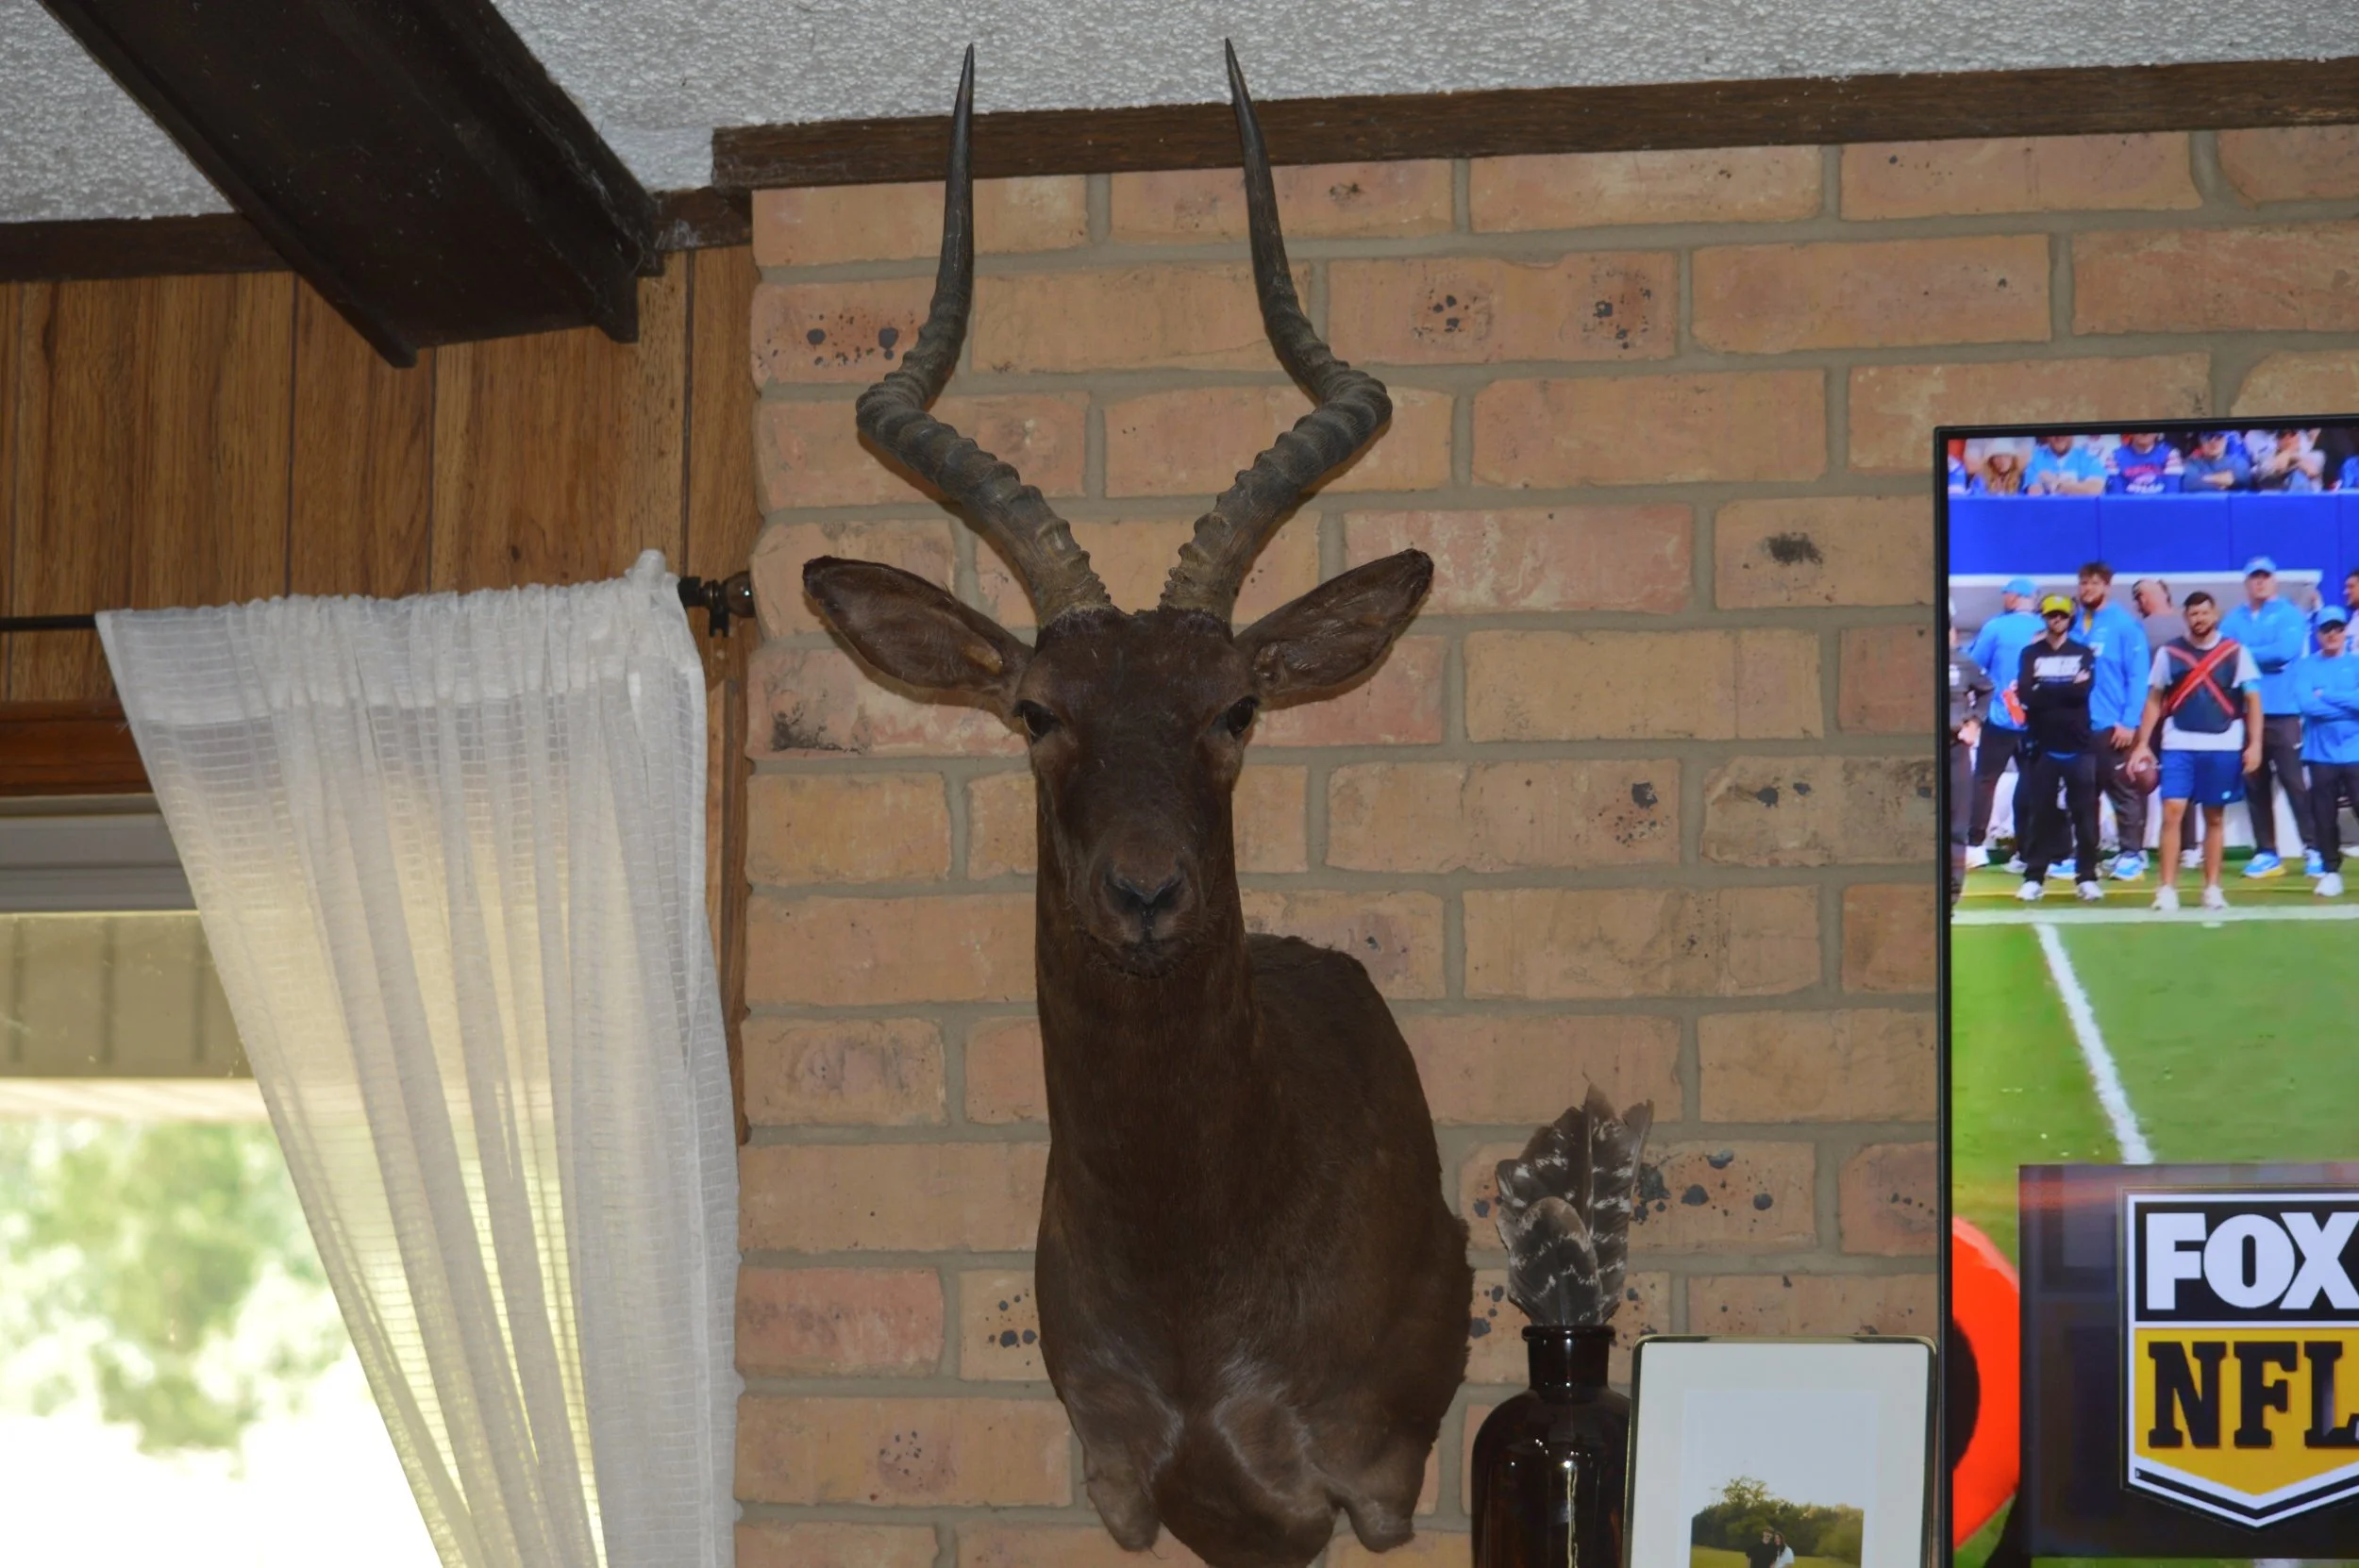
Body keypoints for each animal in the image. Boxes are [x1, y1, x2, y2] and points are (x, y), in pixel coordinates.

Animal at [801, 47, 1470, 1568]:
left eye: (1234, 708)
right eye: (1039, 712)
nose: (1147, 893)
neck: (1192, 1284)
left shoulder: (1368, 1485)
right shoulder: (1132, 1484)